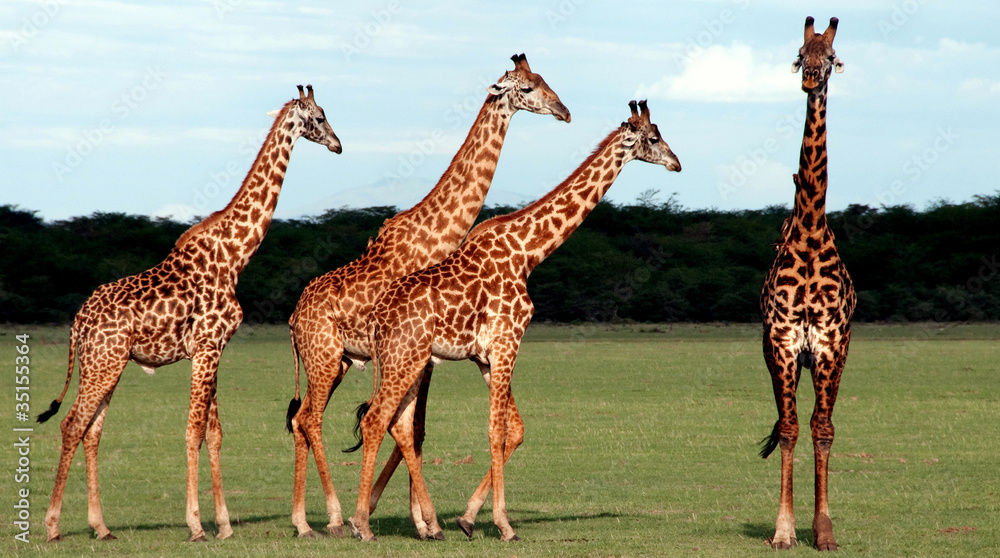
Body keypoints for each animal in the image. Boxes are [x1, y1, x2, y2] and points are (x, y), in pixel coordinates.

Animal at [36, 85, 341, 542]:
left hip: (106, 364)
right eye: (320, 117)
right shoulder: (208, 345)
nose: (338, 145)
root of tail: (78, 322)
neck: (235, 256)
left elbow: (214, 433)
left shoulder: (212, 349)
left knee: (92, 430)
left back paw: (101, 527)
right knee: (73, 424)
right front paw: (197, 525)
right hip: (103, 362)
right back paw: (53, 526)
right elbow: (194, 430)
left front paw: (225, 524)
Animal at [285, 54, 570, 538]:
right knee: (309, 418)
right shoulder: (423, 351)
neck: (438, 233)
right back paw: (329, 519)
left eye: (545, 80)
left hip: (336, 362)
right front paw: (426, 521)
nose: (564, 111)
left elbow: (411, 430)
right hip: (326, 358)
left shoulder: (426, 354)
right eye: (528, 88)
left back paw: (305, 520)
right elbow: (409, 429)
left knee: (303, 419)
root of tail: (291, 318)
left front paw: (419, 520)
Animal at [347, 100, 681, 542]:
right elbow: (496, 428)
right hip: (405, 360)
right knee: (375, 421)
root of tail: (377, 318)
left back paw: (411, 522)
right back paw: (362, 524)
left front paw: (469, 518)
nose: (677, 163)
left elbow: (515, 429)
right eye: (654, 138)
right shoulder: (508, 343)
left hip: (409, 362)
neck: (528, 252)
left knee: (398, 425)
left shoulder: (487, 357)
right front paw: (503, 524)